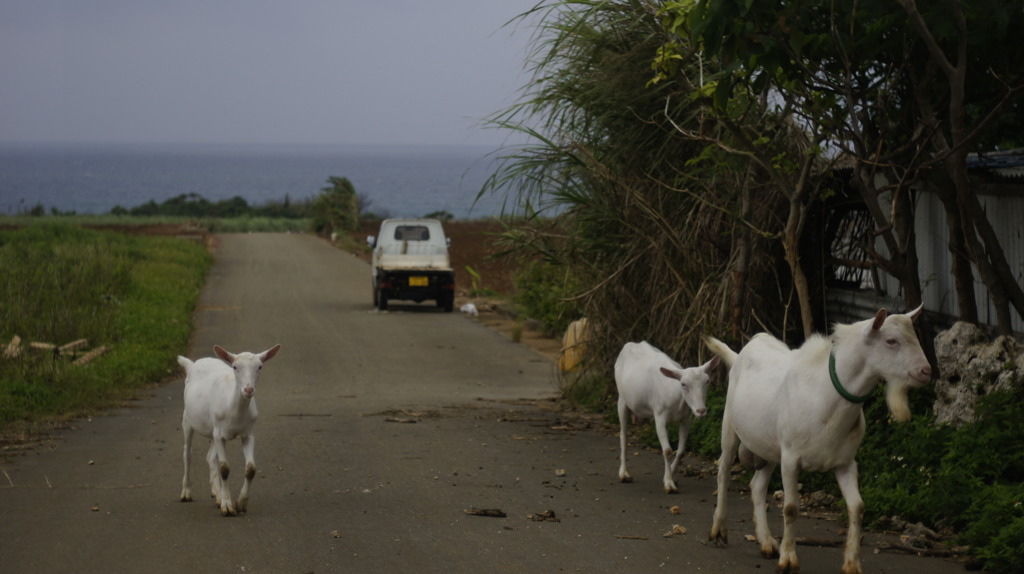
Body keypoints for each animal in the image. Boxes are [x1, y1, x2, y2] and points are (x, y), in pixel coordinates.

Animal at [177, 341, 280, 517]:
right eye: (235, 367)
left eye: (259, 366)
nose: (248, 390)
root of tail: (192, 364)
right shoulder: (219, 434)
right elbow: (224, 468)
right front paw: (227, 506)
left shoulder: (247, 434)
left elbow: (251, 469)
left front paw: (241, 503)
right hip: (188, 419)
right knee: (187, 453)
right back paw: (186, 493)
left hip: (213, 430)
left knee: (210, 457)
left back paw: (217, 495)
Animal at [614, 339, 720, 493]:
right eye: (683, 384)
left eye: (707, 381)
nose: (701, 410)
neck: (676, 396)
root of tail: (630, 345)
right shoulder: (659, 416)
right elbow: (667, 450)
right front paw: (669, 484)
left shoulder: (686, 419)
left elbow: (681, 451)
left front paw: (670, 477)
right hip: (622, 400)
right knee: (623, 437)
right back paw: (623, 474)